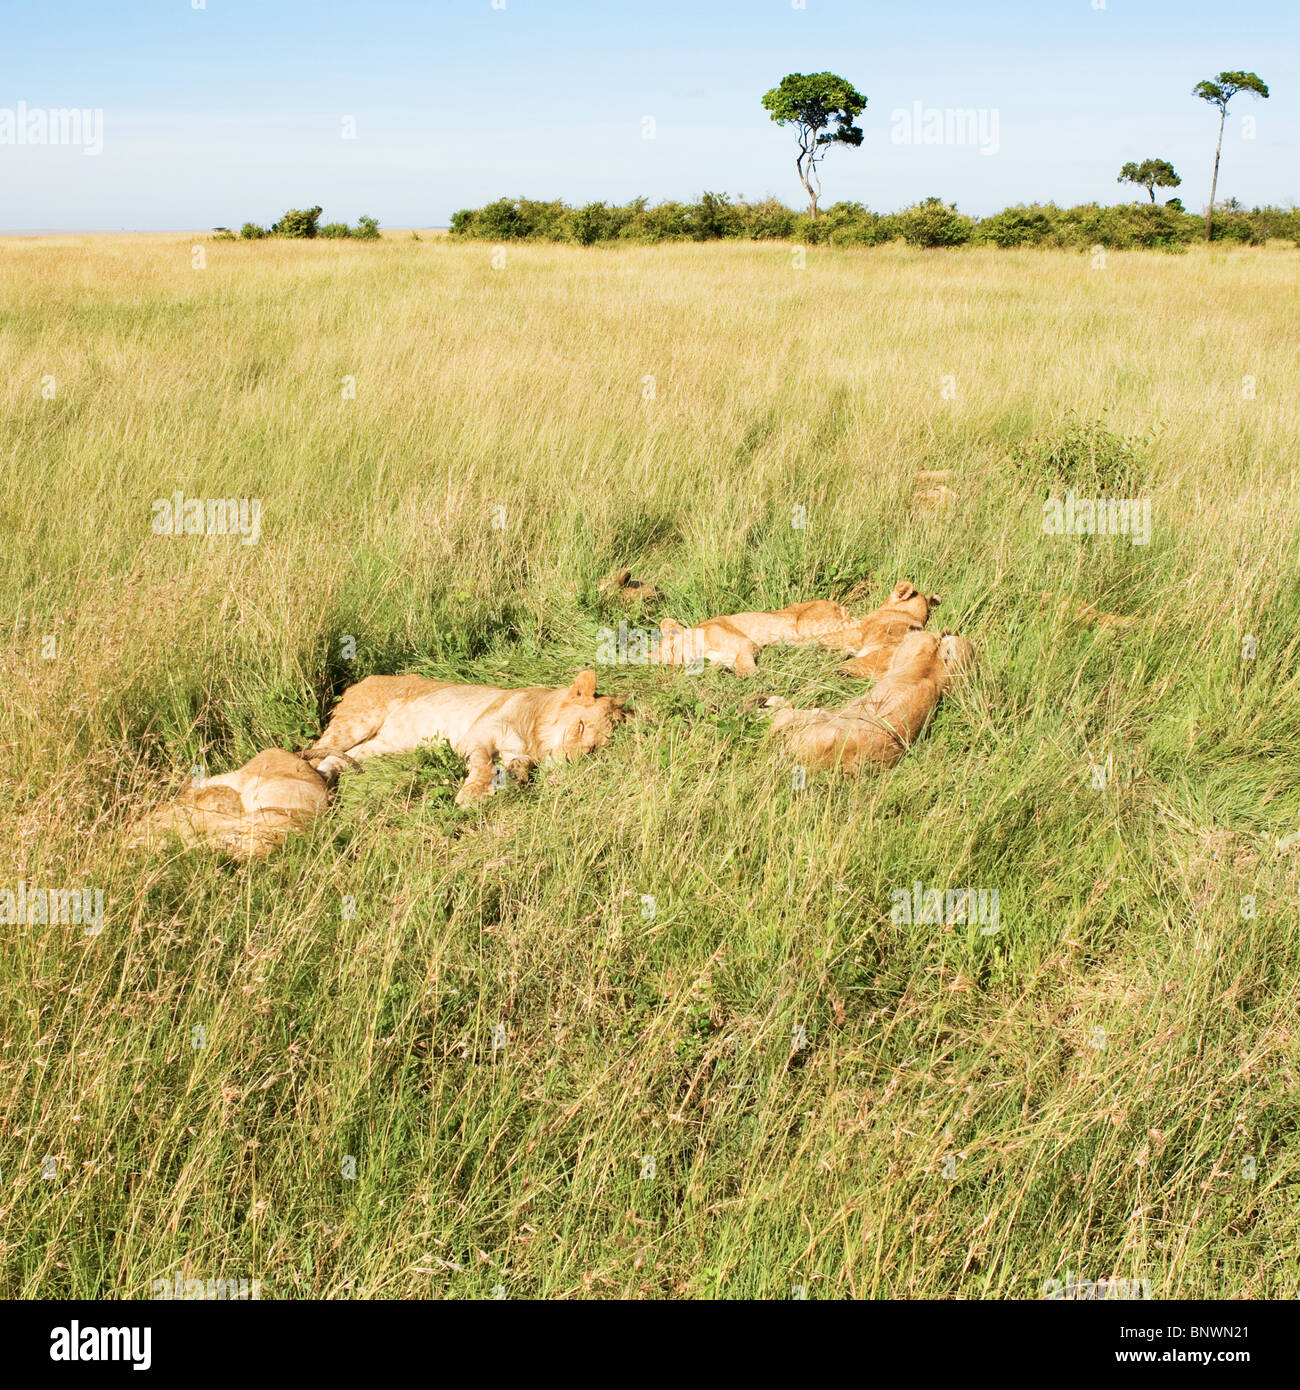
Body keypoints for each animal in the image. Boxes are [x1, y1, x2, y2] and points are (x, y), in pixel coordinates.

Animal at [306, 668, 626, 805]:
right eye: (581, 726)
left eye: (595, 749)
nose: (572, 760)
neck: (534, 734)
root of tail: (361, 681)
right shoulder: (478, 733)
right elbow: (483, 765)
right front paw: (471, 795)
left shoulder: (517, 752)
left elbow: (516, 765)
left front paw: (516, 776)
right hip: (357, 722)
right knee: (313, 751)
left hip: (377, 747)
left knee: (338, 759)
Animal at [653, 598, 851, 677]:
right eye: (666, 664)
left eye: (672, 649)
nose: (678, 665)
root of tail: (835, 603)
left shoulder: (745, 642)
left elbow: (744, 662)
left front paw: (747, 674)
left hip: (808, 626)